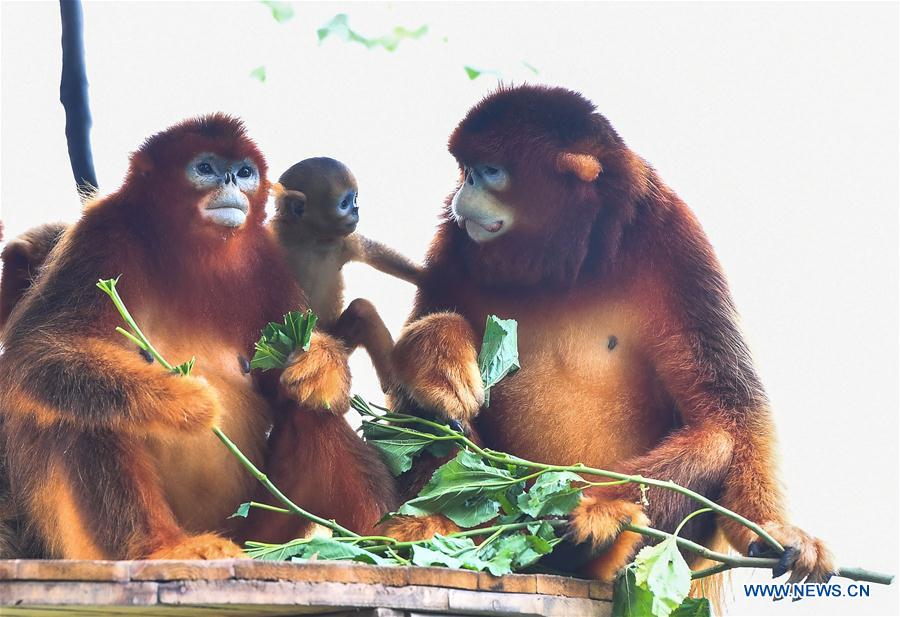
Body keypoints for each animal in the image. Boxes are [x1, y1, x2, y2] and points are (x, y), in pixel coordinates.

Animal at [0, 114, 396, 559]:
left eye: (245, 172)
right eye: (205, 168)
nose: (230, 179)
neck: (190, 254)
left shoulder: (268, 261)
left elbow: (289, 379)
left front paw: (319, 365)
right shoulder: (102, 232)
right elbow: (37, 352)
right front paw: (182, 399)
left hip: (260, 529)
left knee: (309, 406)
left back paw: (388, 537)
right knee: (79, 407)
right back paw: (163, 547)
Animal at [271, 157, 421, 392]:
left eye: (355, 198)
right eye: (344, 203)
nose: (357, 210)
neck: (311, 239)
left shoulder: (344, 242)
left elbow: (375, 254)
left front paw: (426, 277)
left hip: (340, 342)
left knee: (362, 310)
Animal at [382, 85, 835, 587]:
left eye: (490, 171)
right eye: (465, 171)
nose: (465, 190)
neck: (568, 268)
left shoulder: (673, 232)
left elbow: (733, 408)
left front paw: (773, 528)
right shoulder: (452, 244)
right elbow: (406, 400)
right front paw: (438, 359)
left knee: (715, 439)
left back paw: (591, 537)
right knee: (439, 427)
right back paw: (436, 526)